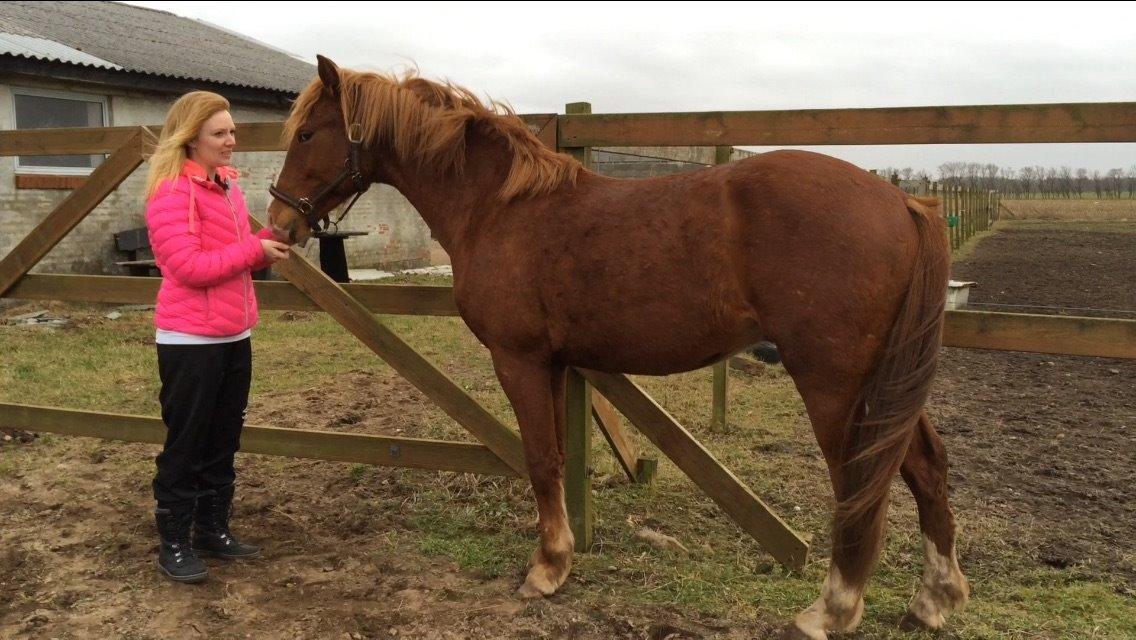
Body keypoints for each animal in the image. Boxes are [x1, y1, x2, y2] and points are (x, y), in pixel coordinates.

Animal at [265, 56, 967, 640]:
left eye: (307, 134)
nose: (279, 225)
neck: (500, 207)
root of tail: (903, 201)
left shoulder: (518, 359)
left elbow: (541, 459)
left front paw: (546, 571)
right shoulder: (551, 364)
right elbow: (552, 460)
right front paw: (561, 554)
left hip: (835, 383)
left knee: (859, 482)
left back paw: (831, 609)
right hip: (881, 379)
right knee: (926, 466)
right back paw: (934, 599)